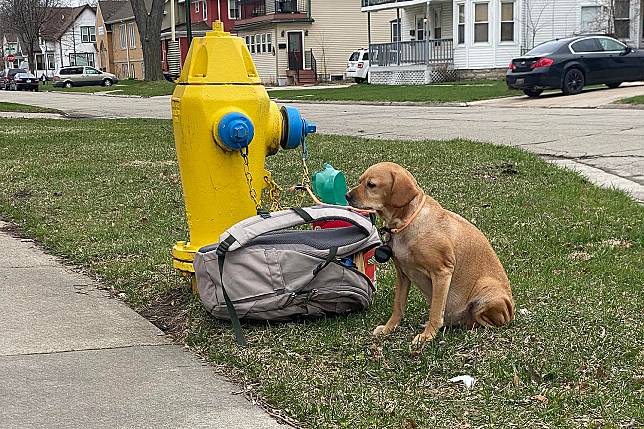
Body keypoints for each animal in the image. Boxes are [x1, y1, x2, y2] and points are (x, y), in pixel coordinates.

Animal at [348, 161, 512, 344]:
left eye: (371, 185)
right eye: (360, 181)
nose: (347, 196)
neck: (406, 222)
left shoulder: (442, 272)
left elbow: (435, 311)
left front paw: (427, 335)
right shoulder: (402, 274)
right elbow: (398, 306)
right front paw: (389, 328)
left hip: (486, 291)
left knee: (488, 322)